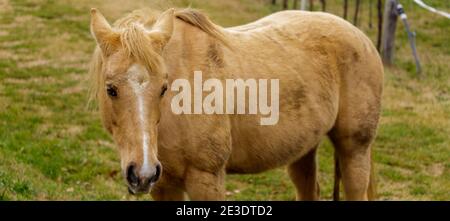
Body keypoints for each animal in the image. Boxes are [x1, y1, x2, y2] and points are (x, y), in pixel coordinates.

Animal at [89, 7, 384, 200]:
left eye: (163, 88)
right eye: (111, 89)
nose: (142, 173)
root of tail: (361, 37)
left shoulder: (206, 179)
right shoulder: (163, 185)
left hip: (355, 149)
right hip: (303, 149)